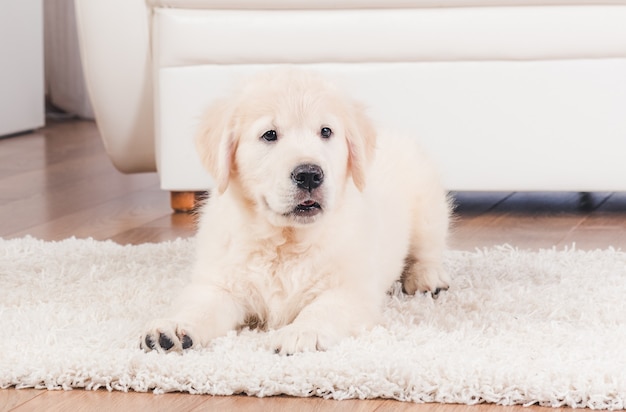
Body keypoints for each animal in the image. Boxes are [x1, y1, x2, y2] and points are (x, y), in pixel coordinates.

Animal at [141, 67, 448, 354]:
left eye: (326, 131)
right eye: (269, 135)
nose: (310, 175)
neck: (285, 241)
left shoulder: (351, 290)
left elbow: (321, 309)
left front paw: (302, 332)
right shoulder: (220, 283)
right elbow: (200, 306)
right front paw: (174, 327)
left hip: (428, 207)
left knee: (428, 249)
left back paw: (426, 278)